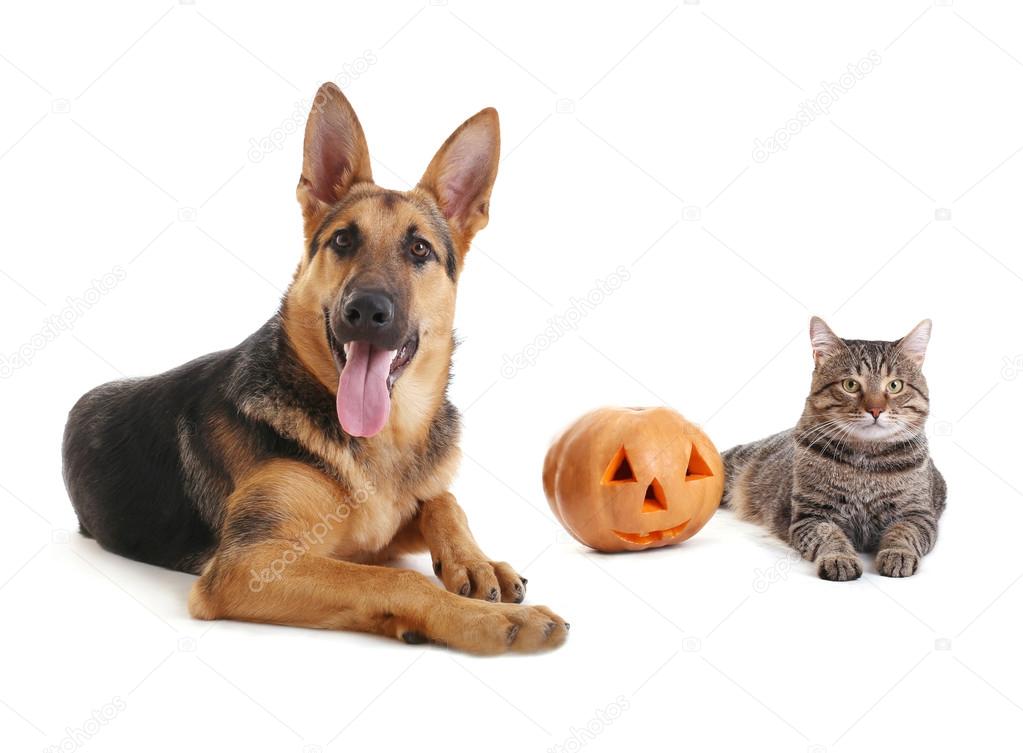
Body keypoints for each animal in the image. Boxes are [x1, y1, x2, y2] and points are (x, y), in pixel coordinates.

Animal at [62, 83, 568, 654]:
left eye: (419, 248)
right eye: (343, 240)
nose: (366, 310)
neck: (383, 441)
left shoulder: (381, 528)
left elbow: (442, 499)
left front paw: (478, 563)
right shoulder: (249, 565)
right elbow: (399, 578)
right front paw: (486, 620)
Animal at [724, 315, 945, 581]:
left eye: (895, 386)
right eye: (850, 385)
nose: (875, 410)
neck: (866, 462)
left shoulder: (918, 514)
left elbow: (903, 532)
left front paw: (898, 554)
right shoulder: (811, 515)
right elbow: (829, 536)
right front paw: (839, 558)